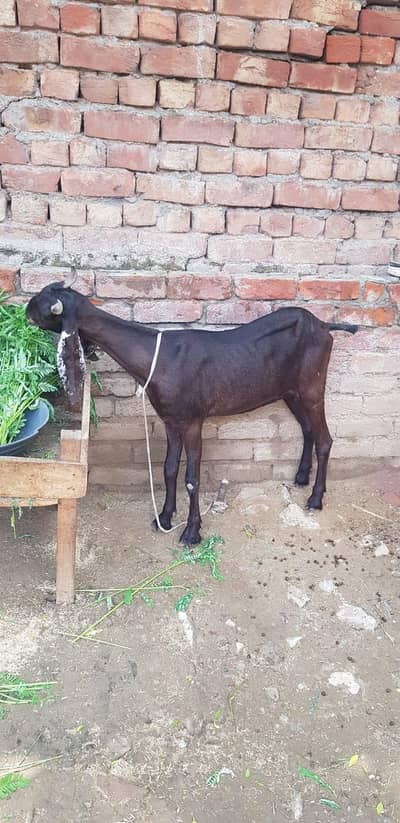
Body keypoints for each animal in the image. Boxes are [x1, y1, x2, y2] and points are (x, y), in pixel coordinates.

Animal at [26, 282, 358, 546]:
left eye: (44, 302)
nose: (26, 310)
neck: (158, 357)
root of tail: (324, 326)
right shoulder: (171, 420)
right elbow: (169, 468)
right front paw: (164, 517)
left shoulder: (193, 421)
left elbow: (192, 477)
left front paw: (191, 532)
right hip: (291, 392)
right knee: (308, 430)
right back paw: (301, 477)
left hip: (312, 387)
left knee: (325, 439)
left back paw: (315, 498)